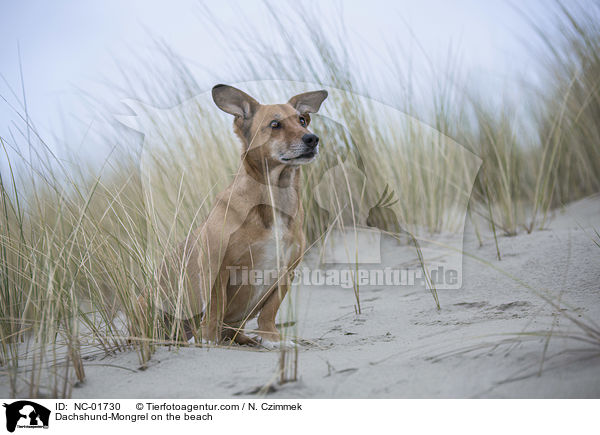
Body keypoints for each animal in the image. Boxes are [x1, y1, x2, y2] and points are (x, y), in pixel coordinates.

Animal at [152, 86, 326, 350]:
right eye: (275, 124)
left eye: (302, 121)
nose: (312, 139)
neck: (274, 194)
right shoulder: (217, 268)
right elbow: (215, 308)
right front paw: (208, 339)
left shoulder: (286, 272)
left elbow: (269, 312)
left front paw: (271, 338)